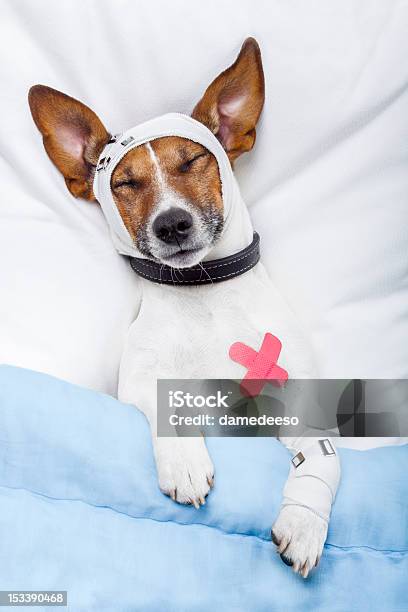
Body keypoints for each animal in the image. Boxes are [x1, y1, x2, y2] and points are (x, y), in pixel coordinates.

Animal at [27, 39, 344, 580]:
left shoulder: (302, 414)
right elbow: (166, 402)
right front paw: (185, 460)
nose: (171, 224)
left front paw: (304, 523)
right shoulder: (138, 381)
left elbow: (325, 459)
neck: (206, 291)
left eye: (194, 159)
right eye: (124, 184)